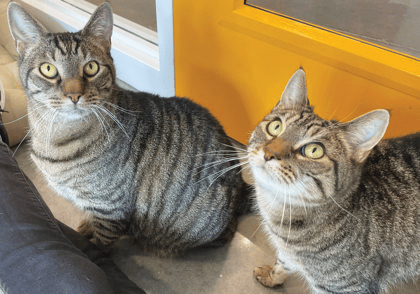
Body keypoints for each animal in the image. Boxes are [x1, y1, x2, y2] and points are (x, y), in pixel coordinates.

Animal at [8, 1, 251, 255]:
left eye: (91, 67)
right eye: (48, 69)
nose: (74, 95)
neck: (55, 137)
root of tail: (240, 183)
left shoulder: (109, 208)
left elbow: (101, 243)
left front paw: (93, 248)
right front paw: (86, 227)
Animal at [248, 68, 418, 292]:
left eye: (314, 150)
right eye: (275, 127)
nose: (269, 153)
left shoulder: (346, 287)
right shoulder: (286, 254)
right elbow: (282, 264)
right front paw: (272, 276)